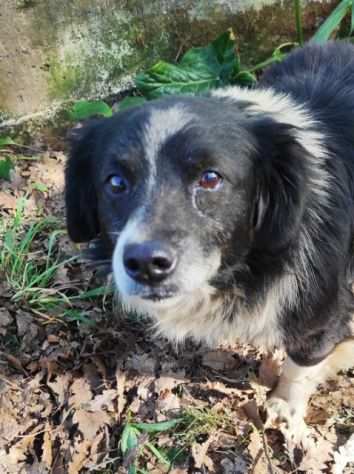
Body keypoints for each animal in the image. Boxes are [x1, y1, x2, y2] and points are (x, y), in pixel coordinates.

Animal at [65, 40, 354, 440]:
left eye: (211, 178)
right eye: (116, 182)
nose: (146, 264)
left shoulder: (320, 313)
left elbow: (303, 362)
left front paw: (286, 405)